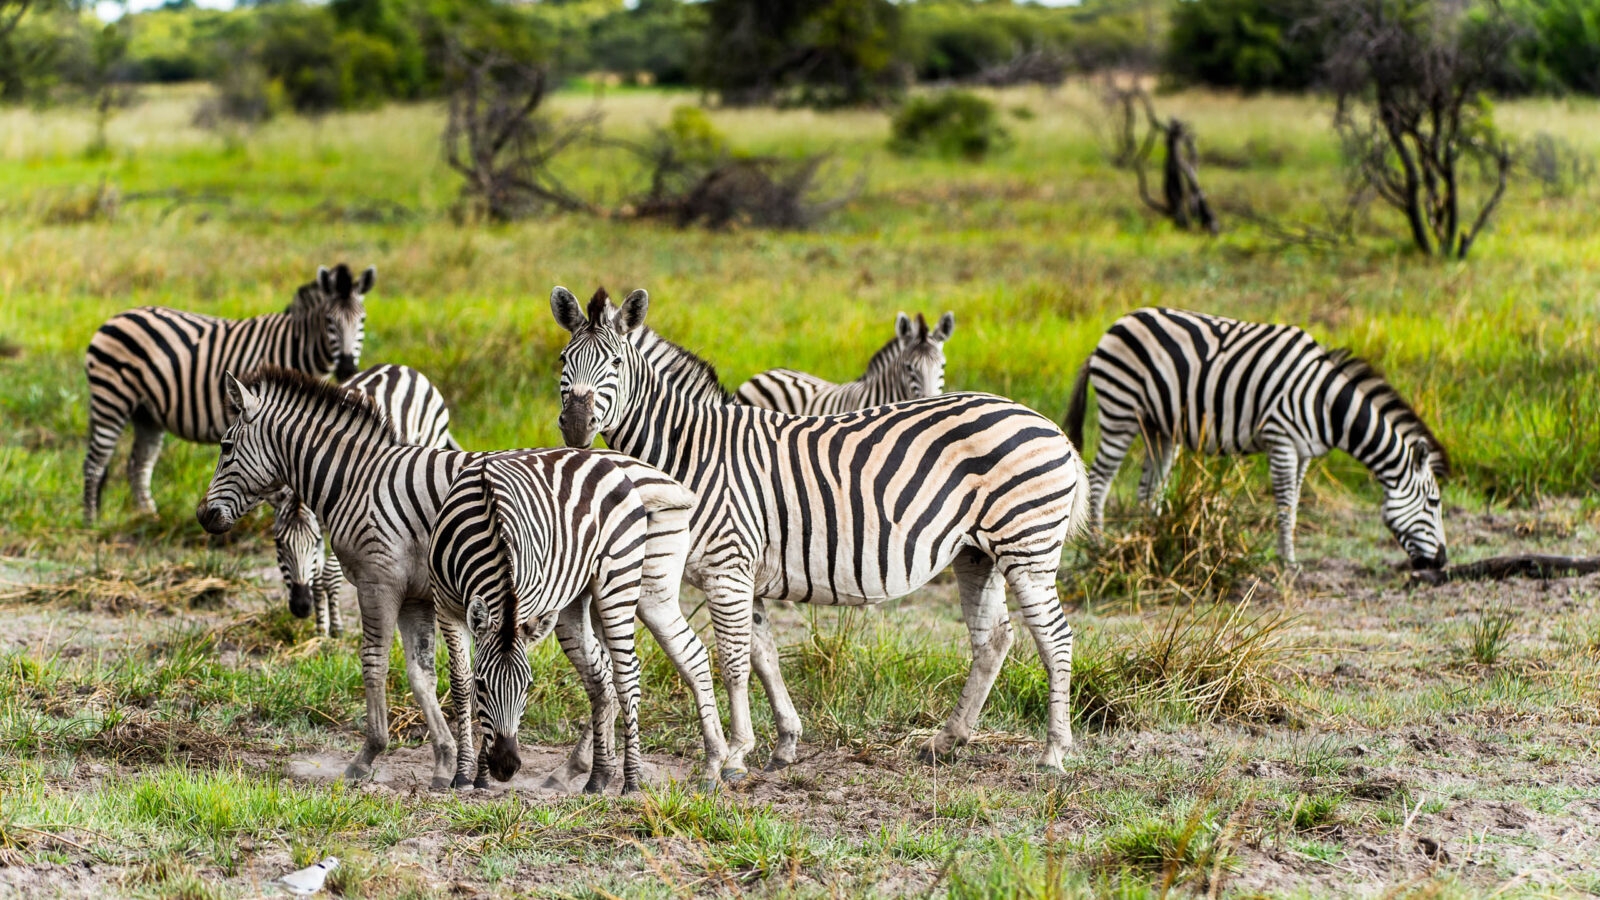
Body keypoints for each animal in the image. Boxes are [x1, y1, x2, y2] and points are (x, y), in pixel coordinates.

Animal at [83, 263, 374, 524]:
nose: (347, 368)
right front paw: (259, 520)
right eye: (330, 321)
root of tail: (114, 318)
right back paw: (91, 521)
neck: (294, 346)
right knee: (95, 463)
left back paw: (148, 515)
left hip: (146, 413)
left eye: (362, 320)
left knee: (138, 465)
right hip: (111, 399)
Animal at [271, 363, 462, 636]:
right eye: (278, 544)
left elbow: (328, 575)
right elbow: (317, 578)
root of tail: (402, 367)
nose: (301, 607)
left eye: (315, 542)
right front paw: (320, 626)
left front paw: (336, 627)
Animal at [431, 450, 726, 793]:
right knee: (609, 675)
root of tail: (609, 462)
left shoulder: (525, 604)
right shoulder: (445, 606)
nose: (505, 767)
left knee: (627, 675)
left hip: (623, 582)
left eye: (528, 686)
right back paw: (600, 776)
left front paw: (479, 774)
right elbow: (459, 682)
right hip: (585, 598)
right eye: (482, 686)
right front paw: (464, 773)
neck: (487, 521)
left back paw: (634, 779)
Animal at [1063, 307, 1448, 569]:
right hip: (1121, 410)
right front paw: (1288, 563)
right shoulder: (1281, 439)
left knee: (1148, 489)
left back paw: (1150, 541)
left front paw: (1287, 556)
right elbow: (1284, 504)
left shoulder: (1303, 452)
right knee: (1101, 480)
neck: (1324, 402)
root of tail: (1113, 328)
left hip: (1157, 426)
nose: (1443, 563)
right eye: (1433, 503)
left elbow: (1294, 503)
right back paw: (1099, 546)